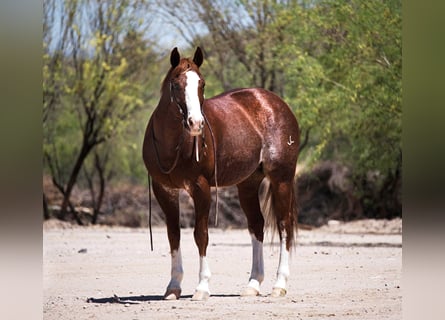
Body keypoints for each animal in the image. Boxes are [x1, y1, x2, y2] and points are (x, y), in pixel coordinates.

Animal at [143, 47, 298, 300]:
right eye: (176, 84)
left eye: (202, 83)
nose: (196, 123)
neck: (172, 144)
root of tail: (274, 103)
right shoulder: (164, 190)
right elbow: (173, 235)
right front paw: (173, 286)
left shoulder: (200, 187)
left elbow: (201, 234)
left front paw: (202, 287)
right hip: (248, 184)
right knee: (257, 225)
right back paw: (253, 284)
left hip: (281, 180)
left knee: (285, 226)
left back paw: (279, 285)